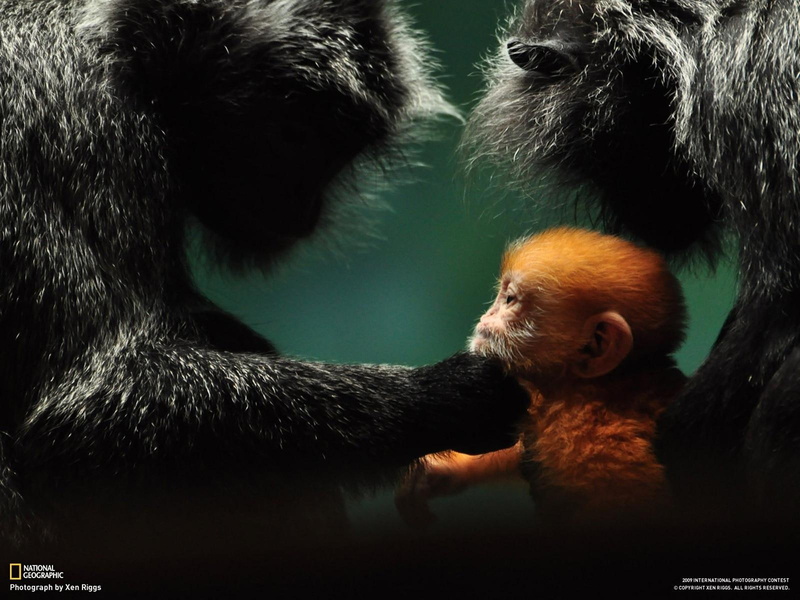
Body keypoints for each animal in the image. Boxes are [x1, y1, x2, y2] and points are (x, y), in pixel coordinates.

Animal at [0, 0, 529, 584]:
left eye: (339, 147)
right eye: (298, 133)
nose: (307, 209)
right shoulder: (75, 114)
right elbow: (83, 415)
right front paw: (443, 395)